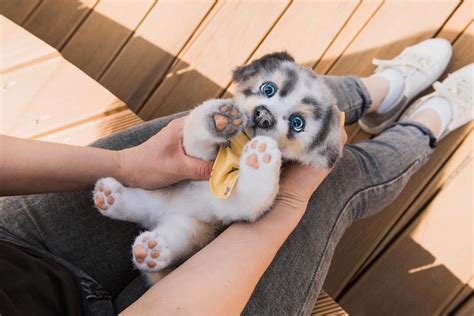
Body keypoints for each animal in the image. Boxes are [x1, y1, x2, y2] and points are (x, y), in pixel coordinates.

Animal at [93, 52, 344, 284]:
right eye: (268, 89)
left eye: (297, 123)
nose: (263, 115)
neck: (237, 149)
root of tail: (163, 213)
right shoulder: (186, 157)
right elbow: (195, 138)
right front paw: (219, 119)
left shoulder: (233, 206)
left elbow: (252, 194)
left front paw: (259, 156)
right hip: (161, 191)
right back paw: (111, 198)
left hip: (191, 228)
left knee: (168, 233)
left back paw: (149, 246)